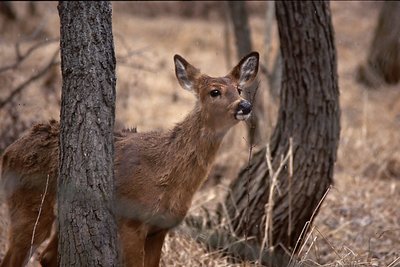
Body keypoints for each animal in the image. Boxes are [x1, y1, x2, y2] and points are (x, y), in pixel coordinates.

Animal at [0, 51, 260, 266]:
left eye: (238, 89)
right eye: (214, 91)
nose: (245, 105)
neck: (167, 172)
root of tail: (8, 153)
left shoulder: (160, 229)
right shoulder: (130, 222)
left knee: (47, 256)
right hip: (29, 204)